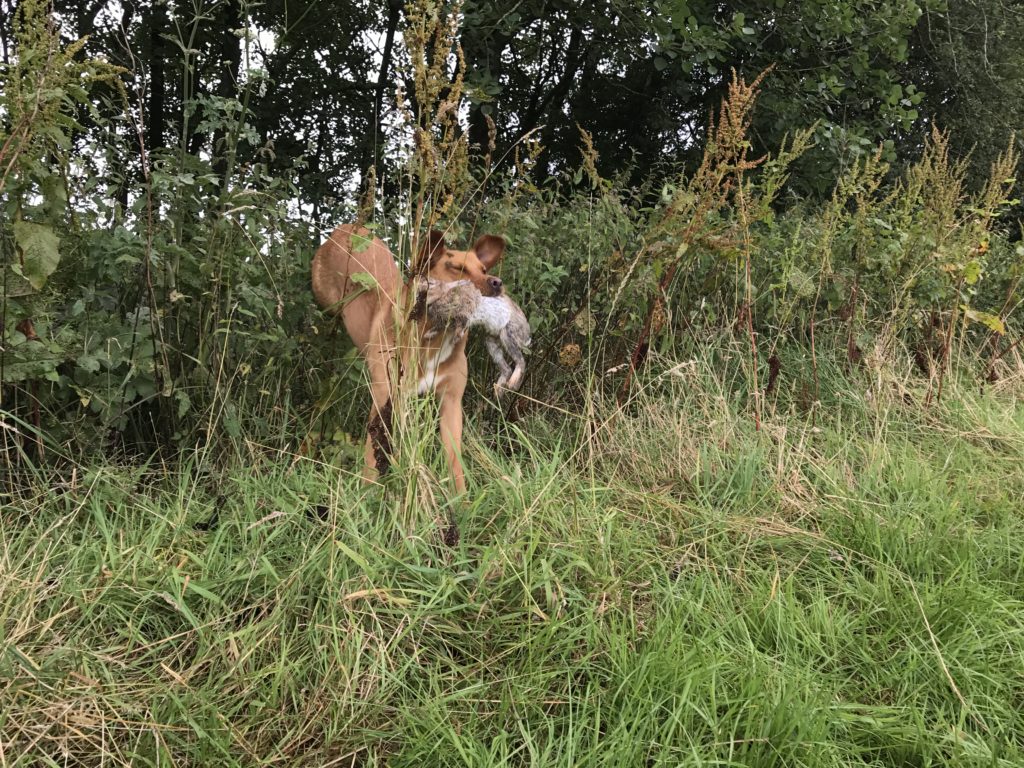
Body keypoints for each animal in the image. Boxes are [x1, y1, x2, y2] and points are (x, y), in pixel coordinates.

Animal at [309, 222, 505, 493]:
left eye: (484, 269)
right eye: (456, 268)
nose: (497, 282)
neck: (435, 340)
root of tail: (350, 227)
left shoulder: (451, 402)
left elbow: (455, 462)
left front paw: (461, 499)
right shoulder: (385, 396)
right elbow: (372, 455)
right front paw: (368, 492)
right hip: (326, 300)